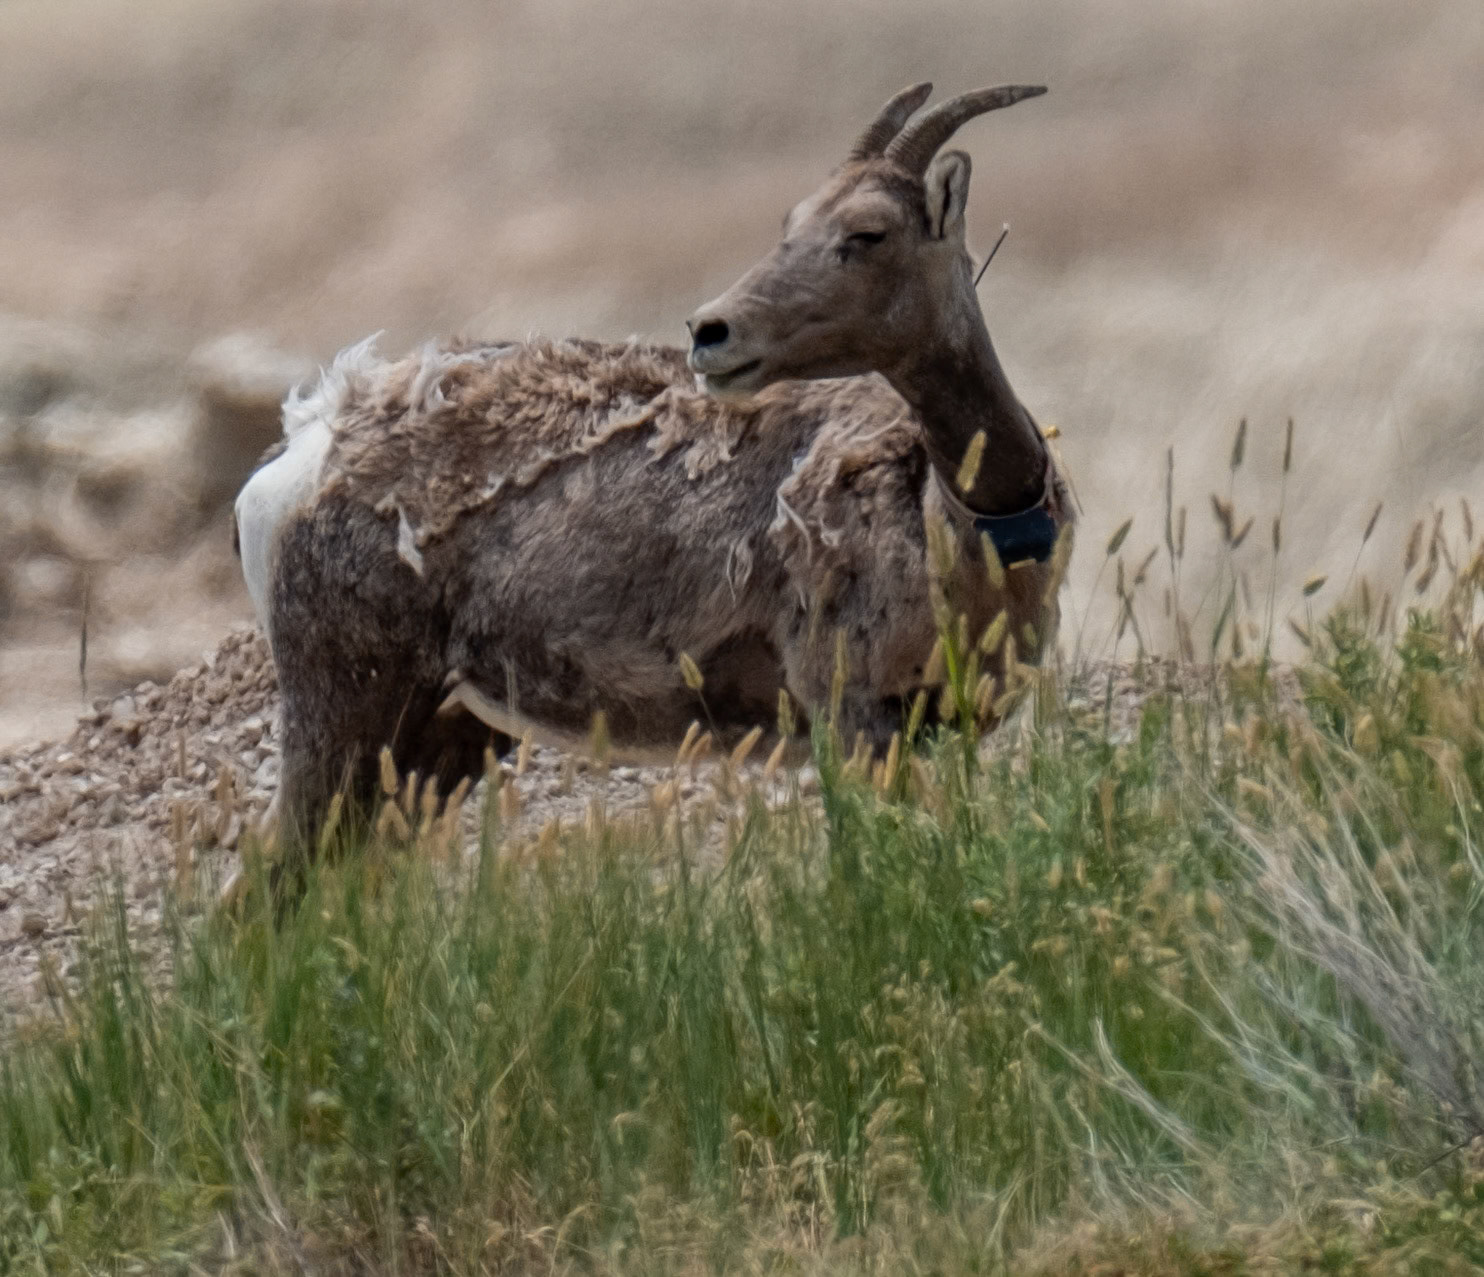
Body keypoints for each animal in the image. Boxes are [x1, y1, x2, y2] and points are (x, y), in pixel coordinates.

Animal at [234, 81, 1073, 851]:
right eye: (791, 222)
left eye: (869, 232)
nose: (712, 331)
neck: (964, 523)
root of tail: (305, 447)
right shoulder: (853, 719)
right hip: (345, 714)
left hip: (436, 745)